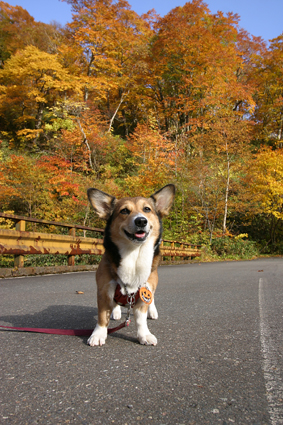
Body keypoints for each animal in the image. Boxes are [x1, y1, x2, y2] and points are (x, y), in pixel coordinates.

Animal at [86, 184, 175, 346]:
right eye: (124, 211)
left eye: (147, 209)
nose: (141, 221)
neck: (133, 254)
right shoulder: (103, 291)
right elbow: (102, 316)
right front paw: (98, 334)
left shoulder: (143, 294)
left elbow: (141, 320)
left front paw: (144, 335)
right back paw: (115, 312)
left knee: (152, 298)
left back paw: (152, 311)